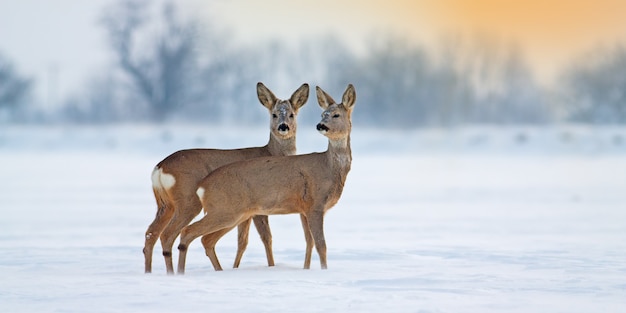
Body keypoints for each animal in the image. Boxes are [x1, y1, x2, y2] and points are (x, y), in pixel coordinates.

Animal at [141, 82, 308, 272]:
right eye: (273, 114)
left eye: (292, 114)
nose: (283, 127)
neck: (271, 152)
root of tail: (160, 167)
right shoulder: (258, 208)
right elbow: (266, 238)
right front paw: (271, 267)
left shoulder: (247, 212)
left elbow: (242, 241)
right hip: (187, 201)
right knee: (168, 234)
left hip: (165, 204)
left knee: (151, 233)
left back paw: (149, 272)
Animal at [176, 84, 356, 272]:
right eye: (323, 114)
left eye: (336, 114)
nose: (320, 125)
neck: (328, 168)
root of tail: (202, 186)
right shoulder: (315, 205)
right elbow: (321, 245)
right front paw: (324, 271)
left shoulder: (305, 209)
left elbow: (309, 243)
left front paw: (306, 269)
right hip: (224, 210)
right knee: (188, 231)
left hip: (235, 213)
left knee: (206, 239)